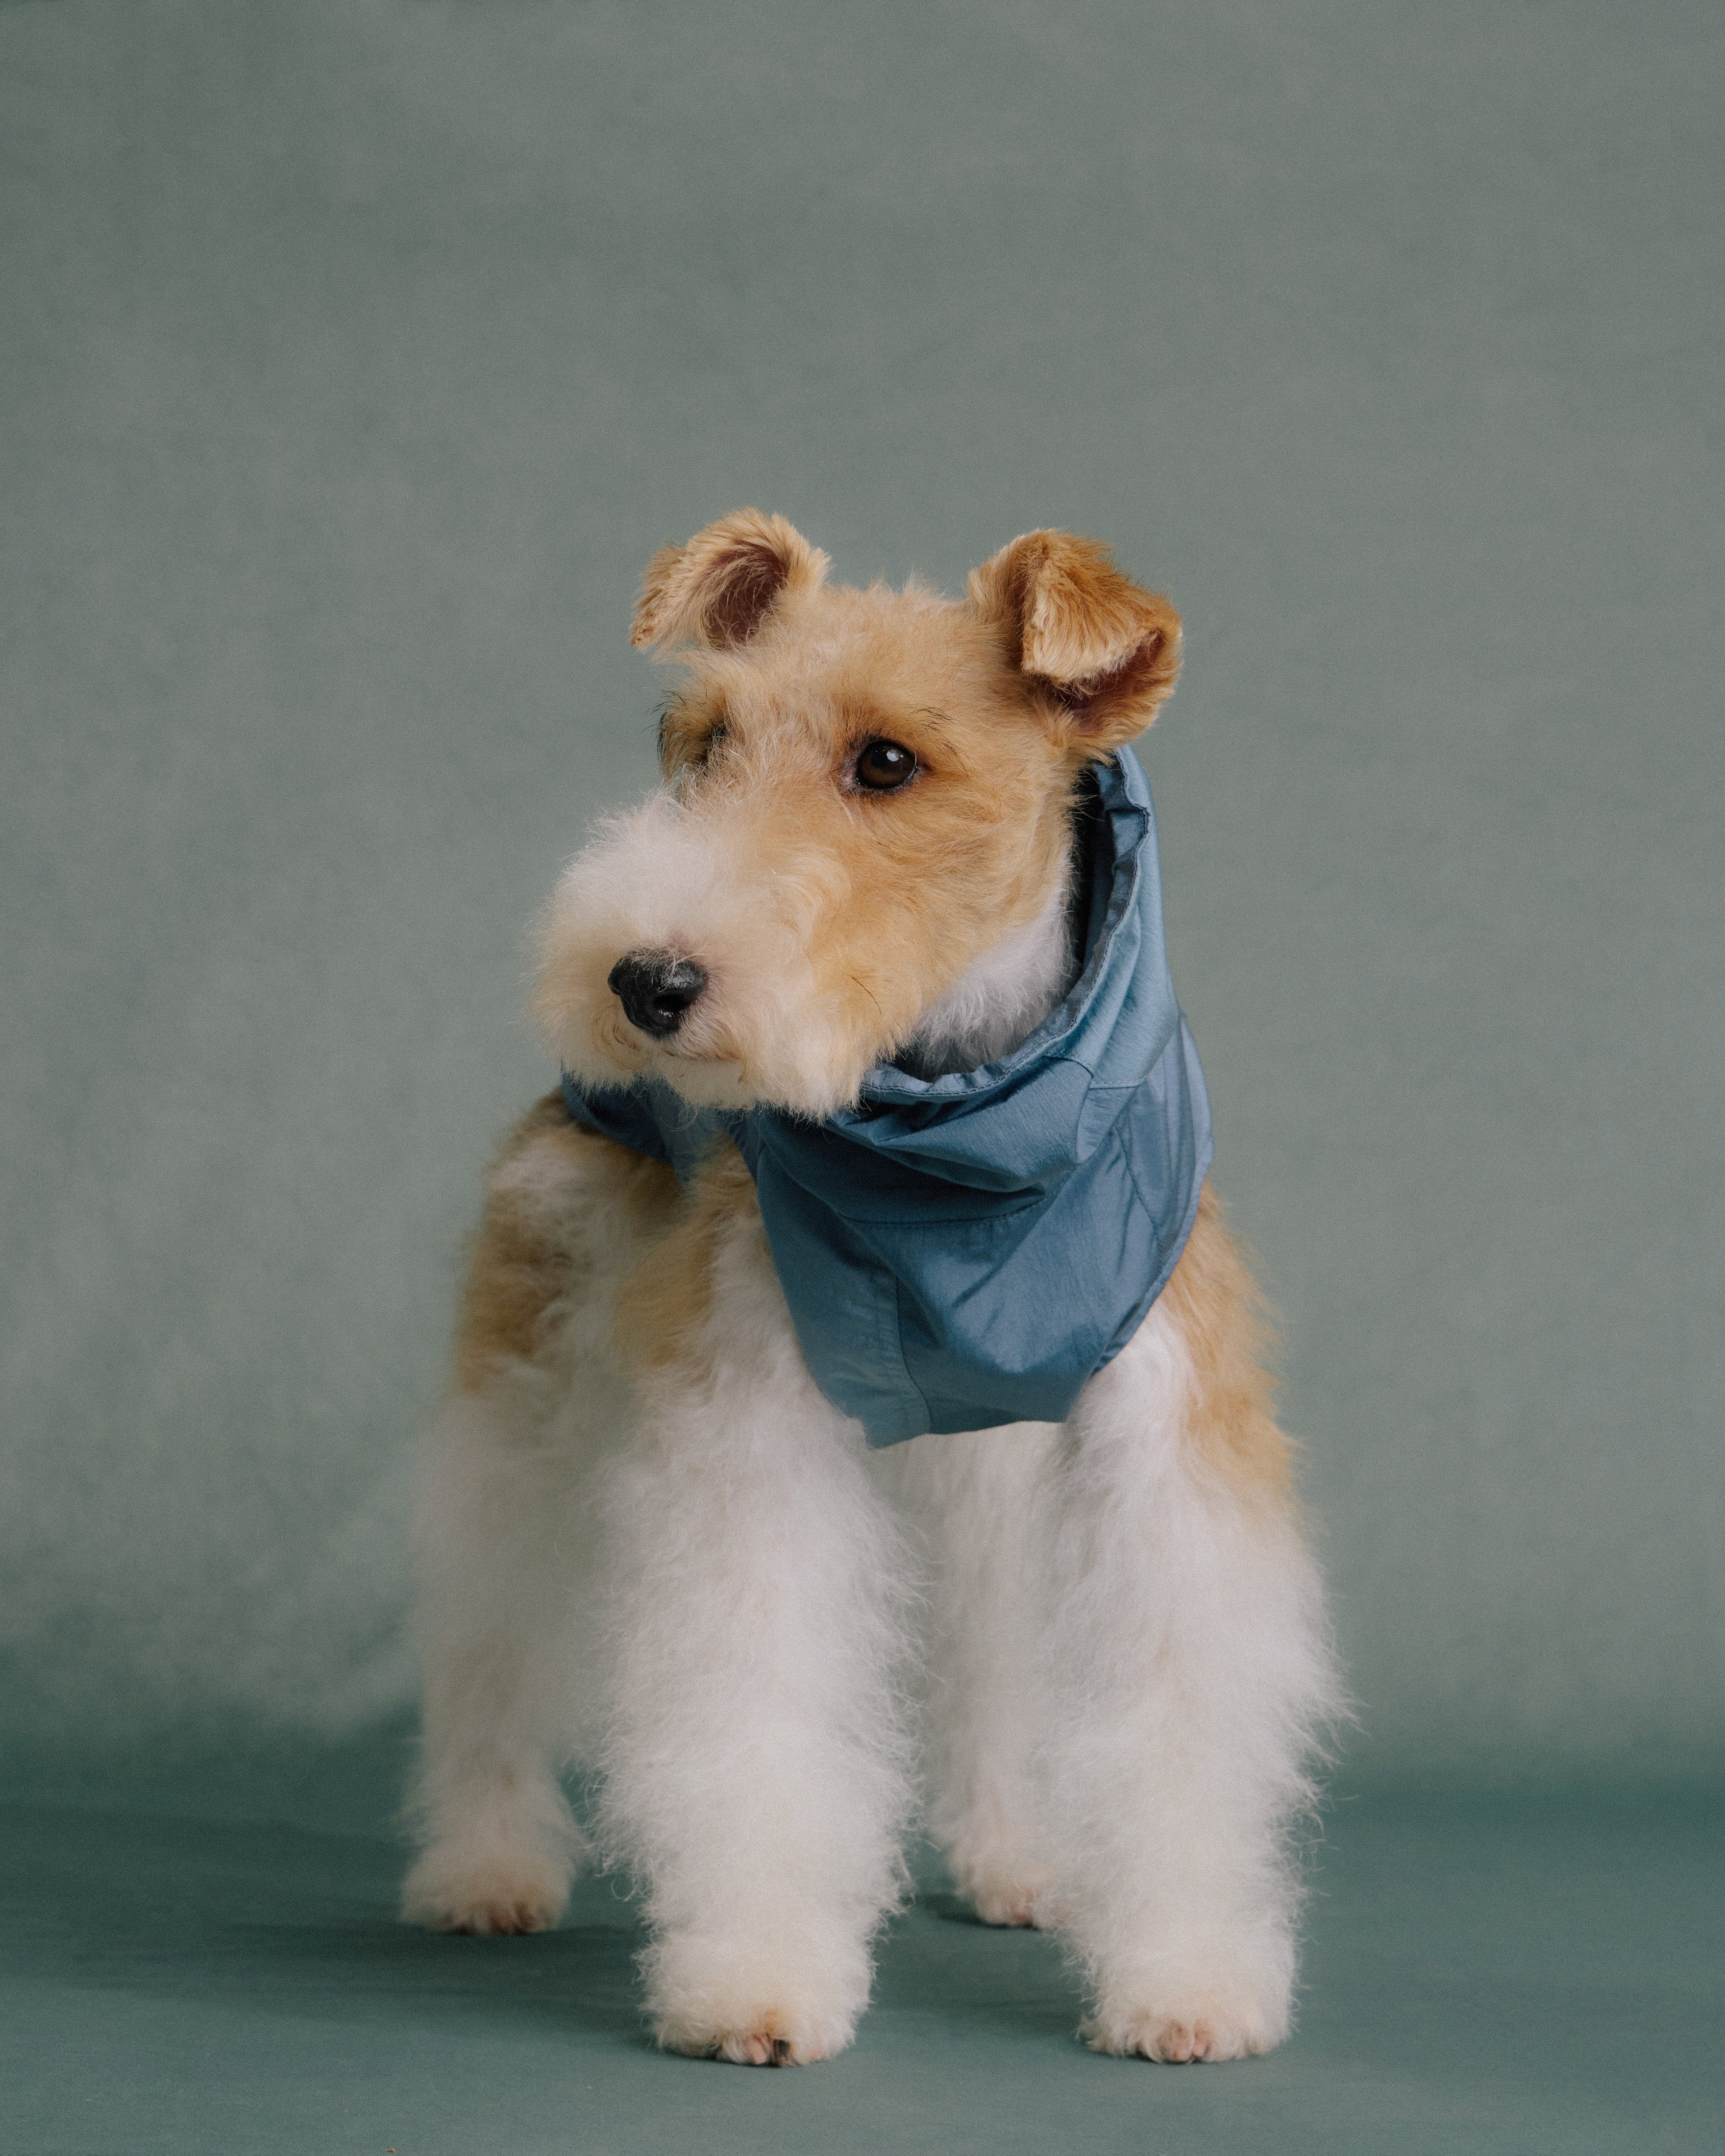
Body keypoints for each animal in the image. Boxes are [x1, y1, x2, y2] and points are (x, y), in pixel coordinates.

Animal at [396, 513, 1337, 2061]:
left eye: (886, 762)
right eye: (703, 743)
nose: (644, 980)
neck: (964, 1145)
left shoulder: (1159, 1438)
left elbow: (1169, 1711)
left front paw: (1186, 1982)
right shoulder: (749, 1429)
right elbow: (758, 1703)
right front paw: (756, 1979)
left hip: (987, 1468)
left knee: (992, 1651)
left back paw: (1014, 1855)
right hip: (532, 1377)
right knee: (497, 1624)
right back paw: (481, 1865)